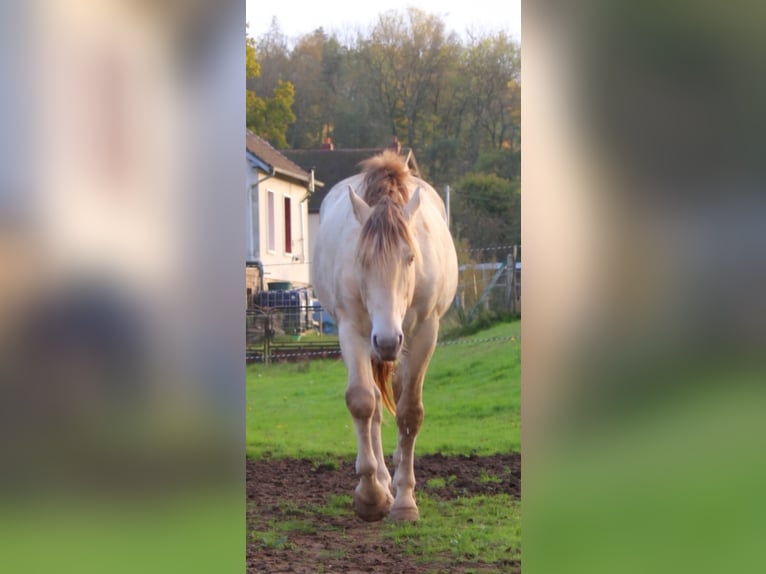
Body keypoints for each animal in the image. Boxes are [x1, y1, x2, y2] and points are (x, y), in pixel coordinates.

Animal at [314, 150, 460, 520]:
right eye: (362, 259)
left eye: (410, 258)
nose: (388, 340)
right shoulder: (352, 330)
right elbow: (363, 402)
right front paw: (370, 496)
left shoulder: (424, 333)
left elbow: (410, 412)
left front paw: (405, 500)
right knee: (377, 405)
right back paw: (381, 479)